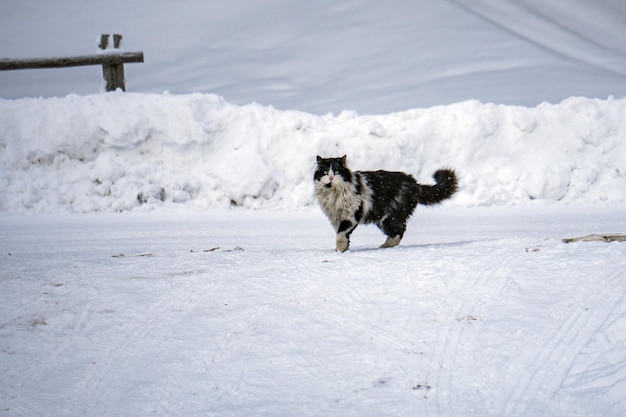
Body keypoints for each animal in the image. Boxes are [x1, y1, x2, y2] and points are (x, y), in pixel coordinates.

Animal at [314, 155, 456, 250]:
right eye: (325, 172)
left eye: (337, 172)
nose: (330, 178)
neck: (333, 194)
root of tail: (414, 183)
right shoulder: (336, 217)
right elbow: (342, 234)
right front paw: (343, 249)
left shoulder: (351, 215)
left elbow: (341, 234)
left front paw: (340, 249)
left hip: (390, 216)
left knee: (399, 231)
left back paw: (385, 246)